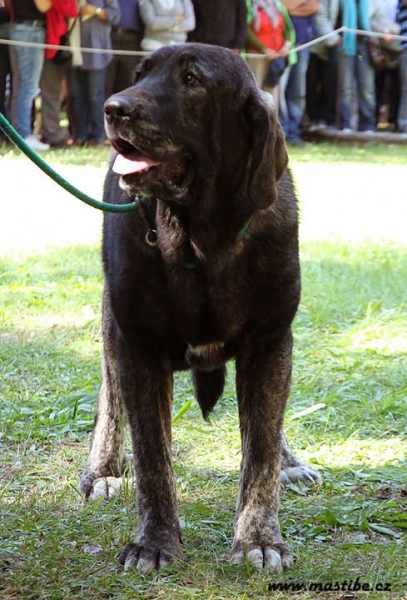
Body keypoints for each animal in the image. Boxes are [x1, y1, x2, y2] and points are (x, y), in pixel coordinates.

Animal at [79, 44, 322, 576]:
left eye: (191, 79)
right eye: (140, 72)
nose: (112, 108)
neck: (199, 240)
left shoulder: (270, 342)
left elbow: (261, 451)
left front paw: (259, 538)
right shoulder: (138, 347)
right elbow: (153, 458)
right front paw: (154, 541)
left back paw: (291, 463)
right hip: (112, 323)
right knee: (110, 396)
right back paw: (102, 468)